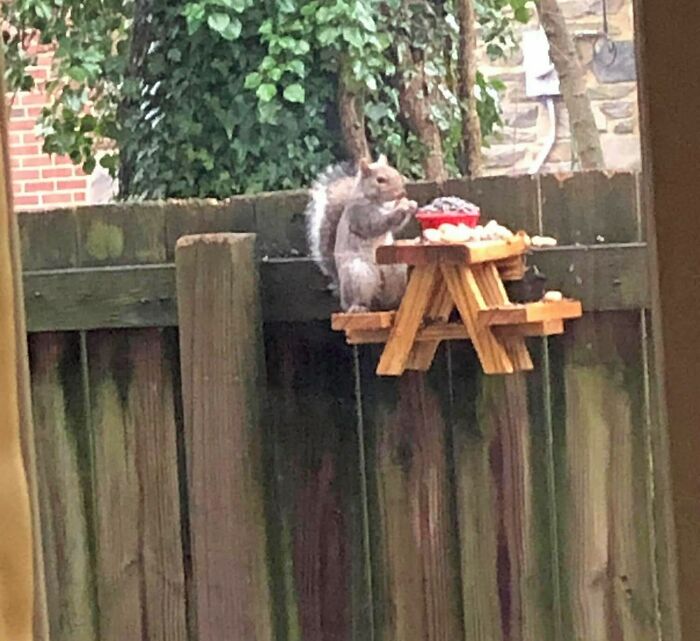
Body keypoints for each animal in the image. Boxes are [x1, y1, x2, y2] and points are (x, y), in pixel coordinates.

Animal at [305, 155, 418, 313]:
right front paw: (402, 207)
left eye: (396, 171)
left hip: (395, 270)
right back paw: (358, 307)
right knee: (359, 300)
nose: (402, 193)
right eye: (380, 180)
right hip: (358, 275)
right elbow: (377, 224)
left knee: (386, 300)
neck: (379, 202)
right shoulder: (359, 214)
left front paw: (410, 204)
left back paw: (394, 303)